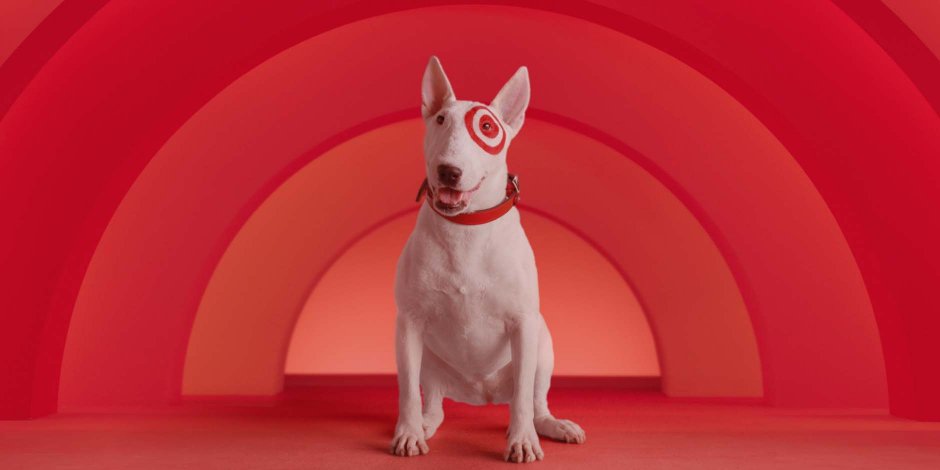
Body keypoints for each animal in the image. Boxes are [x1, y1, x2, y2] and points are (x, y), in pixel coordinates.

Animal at [388, 56, 580, 462]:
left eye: (486, 127)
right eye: (440, 119)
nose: (448, 171)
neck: (466, 228)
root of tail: (481, 393)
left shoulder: (522, 323)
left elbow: (522, 399)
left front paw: (521, 441)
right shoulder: (409, 322)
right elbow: (407, 391)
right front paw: (408, 434)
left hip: (543, 345)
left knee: (534, 401)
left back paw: (551, 427)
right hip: (429, 359)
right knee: (433, 402)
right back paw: (424, 425)